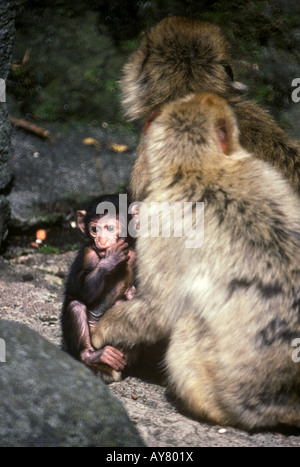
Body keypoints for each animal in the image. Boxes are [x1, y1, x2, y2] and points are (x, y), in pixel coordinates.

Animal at [91, 94, 300, 432]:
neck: (199, 168)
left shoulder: (160, 221)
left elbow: (157, 311)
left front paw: (101, 332)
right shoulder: (265, 172)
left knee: (187, 322)